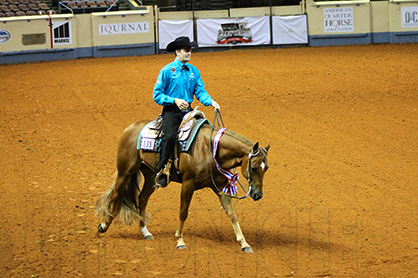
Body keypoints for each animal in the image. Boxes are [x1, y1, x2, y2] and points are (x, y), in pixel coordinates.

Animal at [94, 116, 270, 253]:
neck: (210, 149)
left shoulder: (220, 188)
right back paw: (103, 225)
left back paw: (145, 232)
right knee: (116, 195)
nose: (258, 194)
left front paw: (244, 243)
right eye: (254, 167)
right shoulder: (188, 184)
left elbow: (232, 215)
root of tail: (129, 128)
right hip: (125, 171)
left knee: (142, 198)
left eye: (266, 168)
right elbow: (183, 212)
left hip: (151, 176)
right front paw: (180, 241)